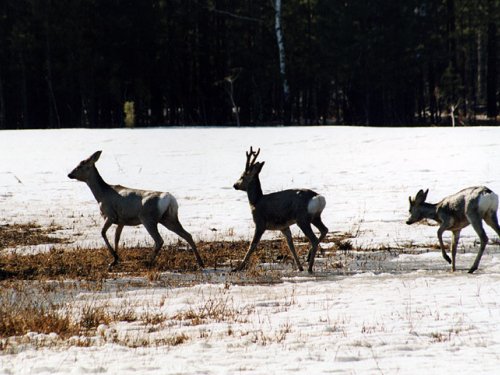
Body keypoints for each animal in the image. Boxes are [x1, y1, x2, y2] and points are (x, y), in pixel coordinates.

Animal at [67, 151, 204, 272]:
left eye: (80, 165)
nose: (69, 174)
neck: (101, 195)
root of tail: (169, 199)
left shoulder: (111, 215)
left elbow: (103, 233)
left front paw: (113, 260)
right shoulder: (121, 220)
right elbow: (117, 238)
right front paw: (115, 260)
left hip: (148, 218)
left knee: (159, 240)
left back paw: (148, 263)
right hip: (169, 218)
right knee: (187, 235)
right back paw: (200, 263)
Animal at [233, 146, 330, 274]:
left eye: (242, 176)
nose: (235, 185)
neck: (256, 201)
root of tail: (318, 198)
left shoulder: (260, 223)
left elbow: (252, 245)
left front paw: (238, 268)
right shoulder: (283, 226)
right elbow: (291, 245)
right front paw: (299, 267)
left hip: (302, 219)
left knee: (314, 239)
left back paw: (309, 267)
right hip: (315, 217)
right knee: (324, 230)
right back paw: (308, 258)